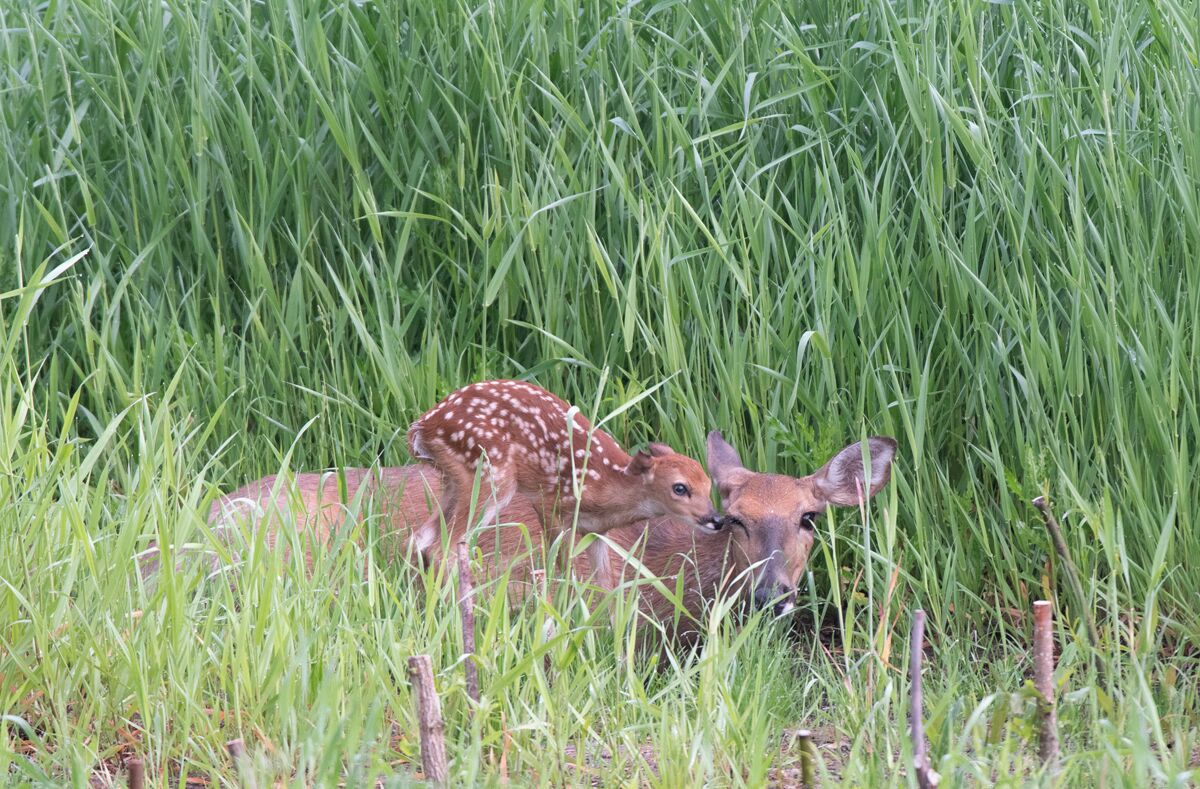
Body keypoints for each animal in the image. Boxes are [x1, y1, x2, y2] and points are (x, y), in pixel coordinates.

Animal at [405, 380, 719, 578]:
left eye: (709, 485)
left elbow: (606, 584)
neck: (606, 484)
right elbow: (565, 570)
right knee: (442, 549)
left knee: (420, 538)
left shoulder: (597, 532)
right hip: (492, 474)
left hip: (454, 480)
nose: (715, 519)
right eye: (680, 488)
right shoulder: (552, 504)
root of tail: (422, 426)